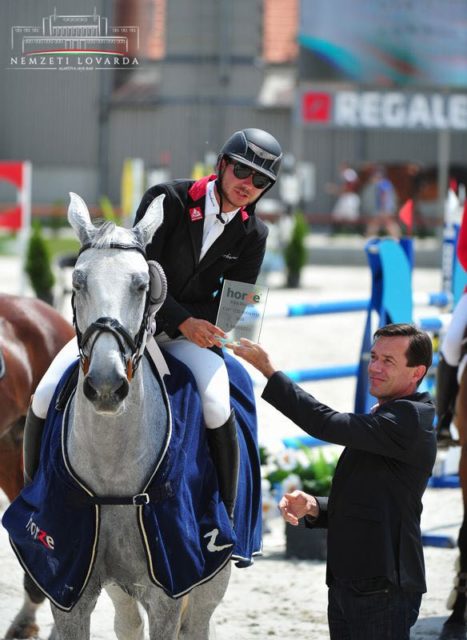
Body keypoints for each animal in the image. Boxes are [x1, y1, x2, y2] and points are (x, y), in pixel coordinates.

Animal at [42, 194, 232, 640]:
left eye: (142, 285)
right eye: (78, 282)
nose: (106, 385)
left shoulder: (169, 592)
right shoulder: (68, 592)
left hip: (211, 582)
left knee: (198, 625)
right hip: (120, 588)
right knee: (126, 623)